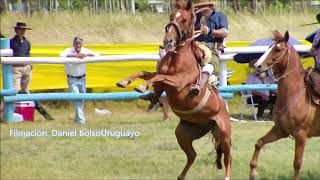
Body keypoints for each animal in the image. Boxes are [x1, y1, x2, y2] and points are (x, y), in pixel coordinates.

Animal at [116, 0, 231, 179]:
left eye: (184, 19)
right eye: (171, 16)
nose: (168, 41)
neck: (178, 57)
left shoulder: (178, 82)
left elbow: (158, 78)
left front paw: (142, 86)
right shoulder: (160, 74)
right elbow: (146, 74)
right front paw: (125, 81)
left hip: (224, 134)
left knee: (227, 157)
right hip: (183, 134)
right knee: (192, 155)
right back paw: (181, 176)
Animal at [251, 30, 318, 179]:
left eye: (278, 49)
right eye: (268, 47)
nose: (257, 66)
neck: (296, 94)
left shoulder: (301, 134)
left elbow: (297, 163)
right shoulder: (280, 130)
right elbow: (259, 143)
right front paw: (252, 172)